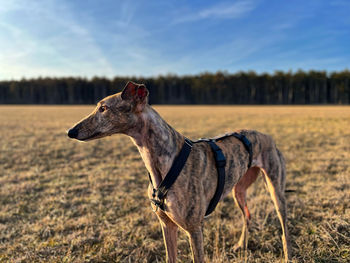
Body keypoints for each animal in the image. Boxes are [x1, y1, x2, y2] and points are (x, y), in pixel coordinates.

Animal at [67, 81, 292, 262]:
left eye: (103, 108)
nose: (70, 131)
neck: (164, 162)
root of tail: (267, 136)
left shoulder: (194, 229)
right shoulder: (167, 225)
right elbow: (170, 257)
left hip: (275, 189)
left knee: (284, 226)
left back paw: (288, 254)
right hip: (239, 190)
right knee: (247, 214)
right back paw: (240, 245)